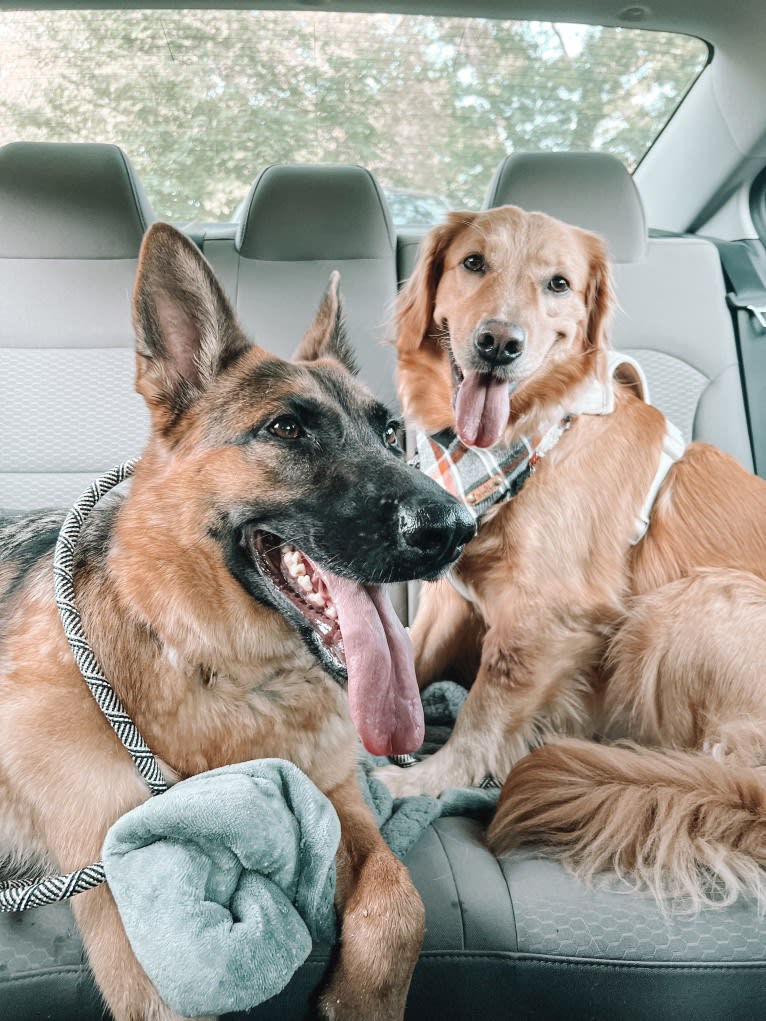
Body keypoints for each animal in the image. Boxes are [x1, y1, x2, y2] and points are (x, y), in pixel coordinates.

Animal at [0, 225, 477, 1021]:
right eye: (286, 428)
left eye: (390, 435)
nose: (457, 529)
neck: (224, 670)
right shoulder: (134, 892)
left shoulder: (339, 799)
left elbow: (399, 904)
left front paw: (362, 996)